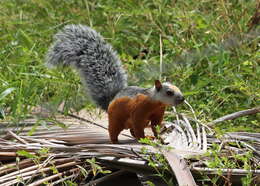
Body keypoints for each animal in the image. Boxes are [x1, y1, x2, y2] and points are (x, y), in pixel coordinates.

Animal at [45, 24, 184, 144]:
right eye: (169, 92)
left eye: (179, 88)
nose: (182, 98)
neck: (155, 102)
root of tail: (110, 101)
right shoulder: (139, 110)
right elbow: (138, 126)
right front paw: (145, 139)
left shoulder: (157, 113)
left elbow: (155, 126)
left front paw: (159, 138)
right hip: (116, 119)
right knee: (116, 130)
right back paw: (115, 141)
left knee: (132, 131)